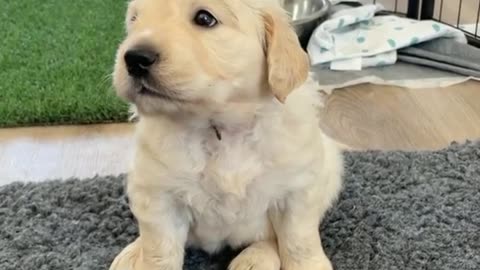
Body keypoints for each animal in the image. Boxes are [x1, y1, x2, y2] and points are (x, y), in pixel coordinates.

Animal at [109, 0, 344, 270]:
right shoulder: (158, 195)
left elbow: (298, 240)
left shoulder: (298, 188)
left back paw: (254, 259)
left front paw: (308, 264)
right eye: (135, 19)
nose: (135, 58)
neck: (221, 128)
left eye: (205, 18)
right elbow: (158, 248)